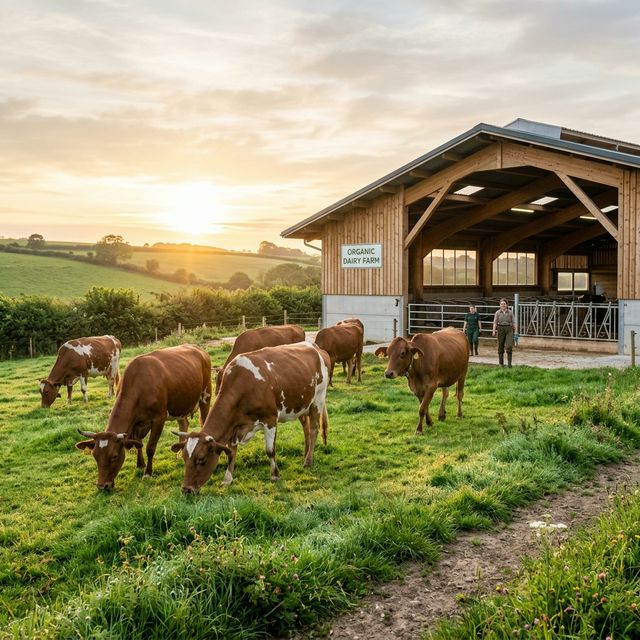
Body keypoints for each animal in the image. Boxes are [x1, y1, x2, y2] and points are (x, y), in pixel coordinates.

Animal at [75, 344, 212, 491]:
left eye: (114, 456)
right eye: (95, 456)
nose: (102, 485)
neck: (139, 385)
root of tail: (197, 348)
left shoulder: (159, 419)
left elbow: (150, 448)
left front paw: (148, 472)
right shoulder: (136, 424)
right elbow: (138, 444)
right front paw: (140, 464)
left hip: (206, 395)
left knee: (204, 420)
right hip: (181, 404)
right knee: (183, 423)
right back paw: (180, 454)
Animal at [172, 342, 331, 493]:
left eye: (202, 459)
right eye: (184, 458)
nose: (186, 489)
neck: (244, 384)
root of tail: (315, 347)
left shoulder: (270, 419)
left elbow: (270, 450)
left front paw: (274, 475)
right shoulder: (235, 427)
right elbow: (231, 453)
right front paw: (227, 480)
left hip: (318, 399)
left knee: (314, 429)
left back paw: (308, 461)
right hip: (301, 405)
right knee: (306, 427)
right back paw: (306, 454)